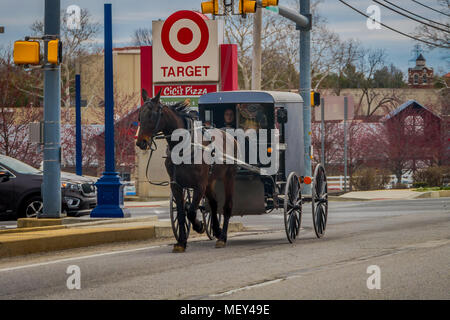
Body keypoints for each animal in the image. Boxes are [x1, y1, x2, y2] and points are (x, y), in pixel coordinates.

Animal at [135, 89, 237, 251]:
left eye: (152, 115)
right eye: (140, 115)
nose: (141, 142)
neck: (185, 146)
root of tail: (228, 135)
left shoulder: (199, 185)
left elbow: (191, 211)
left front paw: (199, 226)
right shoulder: (176, 185)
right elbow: (182, 213)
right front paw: (181, 242)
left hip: (228, 178)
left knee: (227, 206)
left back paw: (222, 237)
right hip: (210, 182)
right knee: (213, 204)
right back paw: (216, 230)